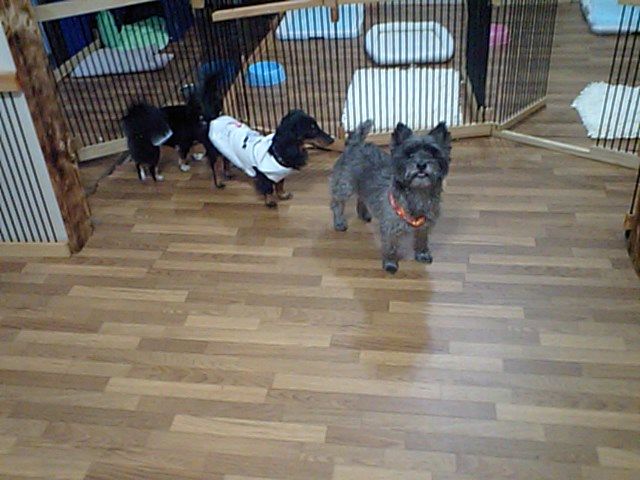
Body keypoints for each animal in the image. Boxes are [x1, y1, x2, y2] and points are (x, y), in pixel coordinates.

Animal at [330, 120, 451, 273]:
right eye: (409, 155)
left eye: (433, 154)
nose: (421, 165)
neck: (418, 192)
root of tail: (355, 144)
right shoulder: (390, 227)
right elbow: (391, 247)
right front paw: (390, 264)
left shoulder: (425, 225)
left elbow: (422, 240)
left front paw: (422, 254)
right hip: (344, 187)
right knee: (337, 205)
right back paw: (339, 222)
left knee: (361, 197)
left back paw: (364, 214)